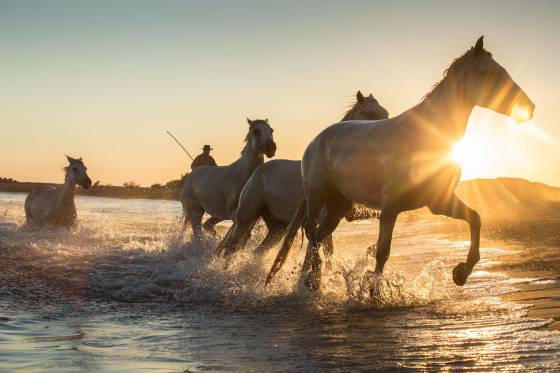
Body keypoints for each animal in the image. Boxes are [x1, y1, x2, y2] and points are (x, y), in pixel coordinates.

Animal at [219, 91, 390, 258]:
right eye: (370, 113)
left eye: (386, 113)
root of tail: (255, 173)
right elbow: (326, 250)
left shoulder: (350, 213)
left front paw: (372, 250)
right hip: (246, 218)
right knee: (230, 248)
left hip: (277, 228)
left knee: (257, 251)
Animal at [266, 37, 532, 288]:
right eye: (489, 73)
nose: (528, 108)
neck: (424, 137)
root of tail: (314, 142)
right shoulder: (390, 209)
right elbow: (382, 253)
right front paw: (374, 293)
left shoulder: (439, 202)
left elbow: (475, 218)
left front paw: (461, 273)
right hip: (317, 198)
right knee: (312, 234)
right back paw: (312, 280)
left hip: (338, 206)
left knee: (319, 238)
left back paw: (310, 283)